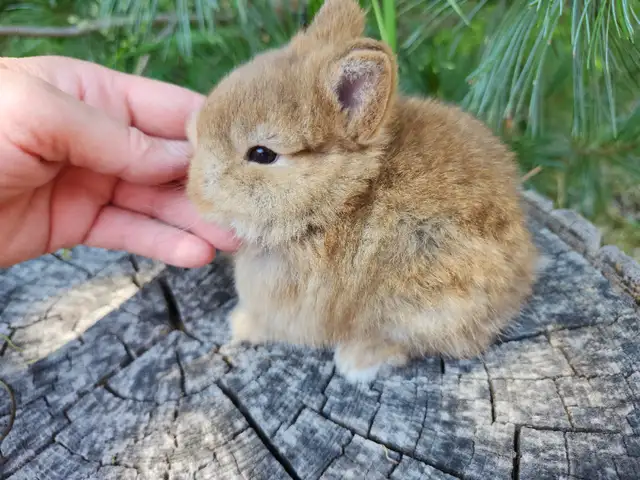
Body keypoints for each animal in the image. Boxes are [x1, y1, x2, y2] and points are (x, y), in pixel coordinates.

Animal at [185, 0, 538, 383]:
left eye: (262, 154)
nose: (195, 195)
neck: (341, 198)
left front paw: (241, 325)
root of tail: (524, 272)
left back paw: (357, 361)